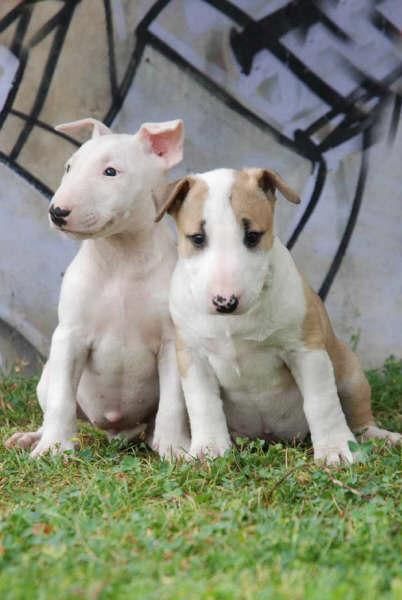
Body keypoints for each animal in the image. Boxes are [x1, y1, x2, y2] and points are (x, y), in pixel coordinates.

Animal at [4, 117, 190, 458]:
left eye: (111, 172)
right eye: (68, 167)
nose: (57, 212)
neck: (121, 258)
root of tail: (116, 430)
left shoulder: (172, 342)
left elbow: (173, 402)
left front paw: (174, 449)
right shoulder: (70, 336)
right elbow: (61, 399)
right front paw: (53, 448)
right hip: (46, 377)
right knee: (51, 405)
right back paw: (30, 438)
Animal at [157, 168, 402, 464]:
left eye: (252, 236)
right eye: (197, 239)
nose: (225, 301)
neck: (233, 323)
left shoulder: (306, 350)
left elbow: (321, 401)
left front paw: (335, 449)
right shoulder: (192, 356)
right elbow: (203, 403)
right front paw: (208, 449)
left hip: (350, 372)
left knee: (359, 418)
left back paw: (381, 437)